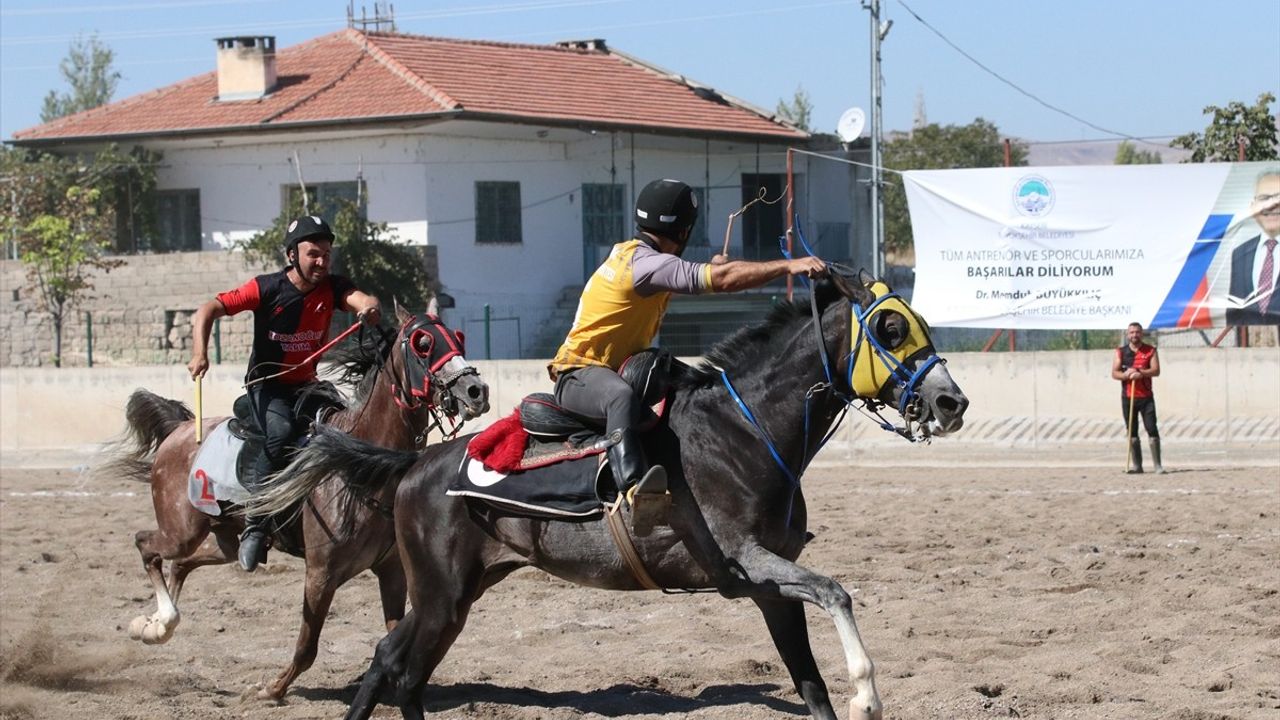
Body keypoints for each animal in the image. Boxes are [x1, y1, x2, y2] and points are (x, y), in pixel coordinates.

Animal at [107, 302, 486, 696]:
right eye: (423, 343)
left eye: (457, 338)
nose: (476, 391)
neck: (358, 467)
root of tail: (180, 429)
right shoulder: (320, 574)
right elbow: (307, 647)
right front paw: (270, 690)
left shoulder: (392, 570)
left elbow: (393, 635)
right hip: (180, 530)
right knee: (146, 545)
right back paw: (158, 623)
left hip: (224, 540)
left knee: (182, 564)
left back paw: (157, 625)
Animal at [254, 270, 962, 717]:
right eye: (890, 329)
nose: (950, 401)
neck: (742, 429)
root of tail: (415, 462)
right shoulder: (750, 561)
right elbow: (837, 592)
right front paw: (868, 692)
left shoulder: (770, 587)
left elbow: (812, 685)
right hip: (438, 592)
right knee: (390, 667)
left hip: (455, 596)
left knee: (399, 672)